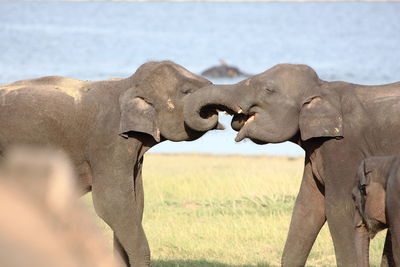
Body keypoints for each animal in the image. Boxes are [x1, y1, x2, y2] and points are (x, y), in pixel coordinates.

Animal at [185, 63, 400, 266]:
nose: (215, 117)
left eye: (268, 90)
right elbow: (307, 207)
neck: (322, 87)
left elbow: (338, 209)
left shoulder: (344, 148)